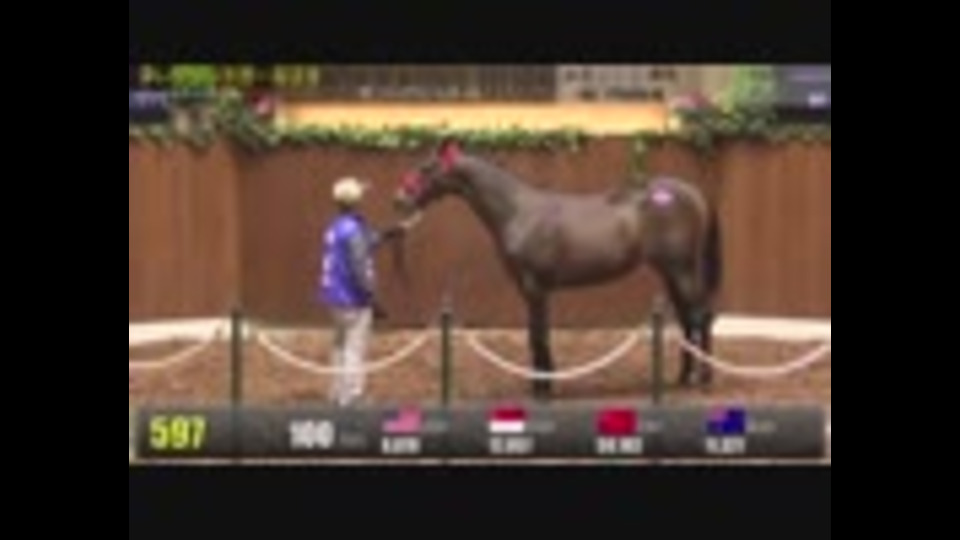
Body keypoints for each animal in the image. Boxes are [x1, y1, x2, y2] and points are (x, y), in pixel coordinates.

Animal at [391, 138, 723, 401]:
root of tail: (693, 193)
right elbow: (534, 334)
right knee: (687, 319)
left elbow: (539, 336)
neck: (518, 211)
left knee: (701, 315)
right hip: (670, 271)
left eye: (426, 168)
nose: (400, 199)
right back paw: (682, 378)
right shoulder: (527, 289)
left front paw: (543, 388)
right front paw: (542, 383)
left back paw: (704, 379)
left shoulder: (536, 287)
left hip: (682, 269)